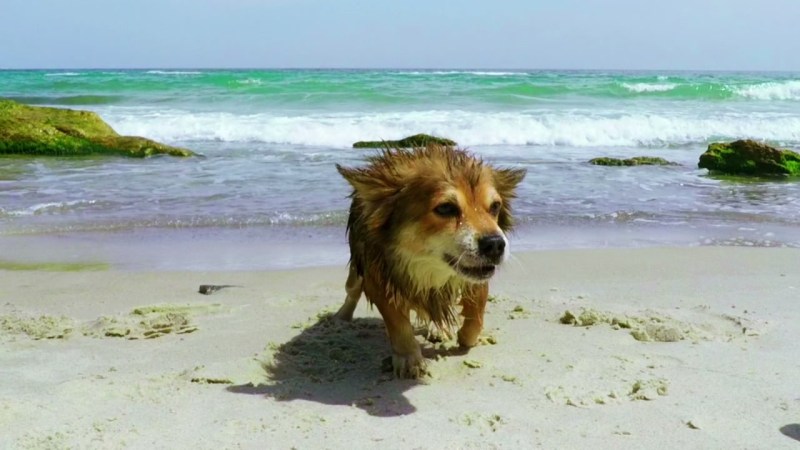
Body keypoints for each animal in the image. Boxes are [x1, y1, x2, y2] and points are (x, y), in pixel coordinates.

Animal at [336, 146, 528, 378]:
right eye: (446, 208)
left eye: (495, 206)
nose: (496, 244)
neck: (426, 269)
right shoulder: (379, 280)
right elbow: (398, 324)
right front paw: (408, 358)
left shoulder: (476, 278)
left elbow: (477, 314)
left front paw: (466, 337)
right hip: (356, 273)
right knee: (352, 292)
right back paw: (341, 317)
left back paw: (440, 328)